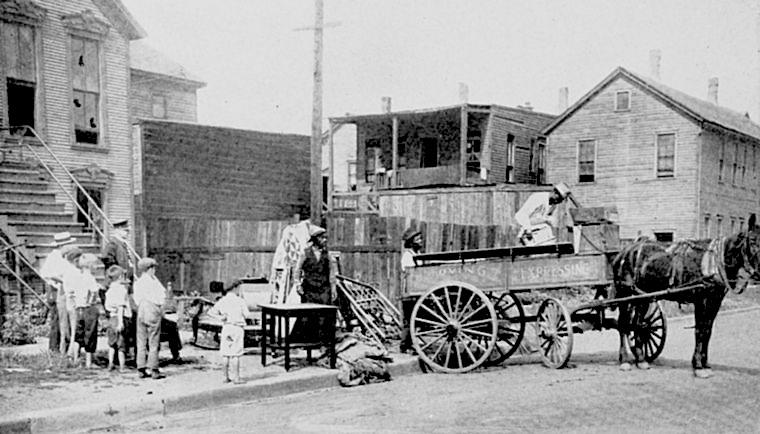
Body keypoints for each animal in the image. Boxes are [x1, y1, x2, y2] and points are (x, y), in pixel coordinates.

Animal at [612, 214, 760, 376]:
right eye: (753, 240)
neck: (713, 262)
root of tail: (624, 252)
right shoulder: (701, 300)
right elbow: (700, 330)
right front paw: (698, 365)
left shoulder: (715, 301)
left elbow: (708, 331)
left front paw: (705, 363)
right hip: (625, 293)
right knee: (623, 324)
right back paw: (625, 360)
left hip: (643, 297)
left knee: (637, 324)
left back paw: (641, 359)